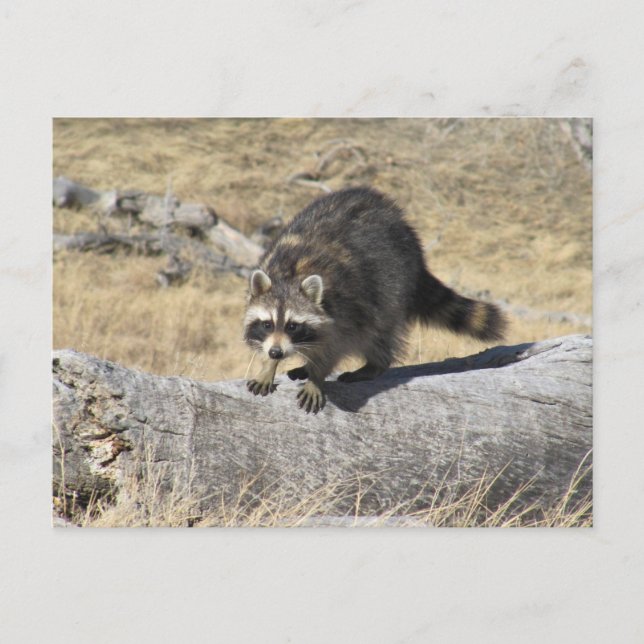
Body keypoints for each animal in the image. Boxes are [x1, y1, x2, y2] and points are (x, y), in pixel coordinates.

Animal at [243, 187, 506, 413]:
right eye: (267, 324)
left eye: (293, 326)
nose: (277, 353)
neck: (289, 275)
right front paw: (268, 366)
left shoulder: (344, 309)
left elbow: (334, 347)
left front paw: (316, 377)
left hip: (392, 285)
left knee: (378, 332)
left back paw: (374, 364)